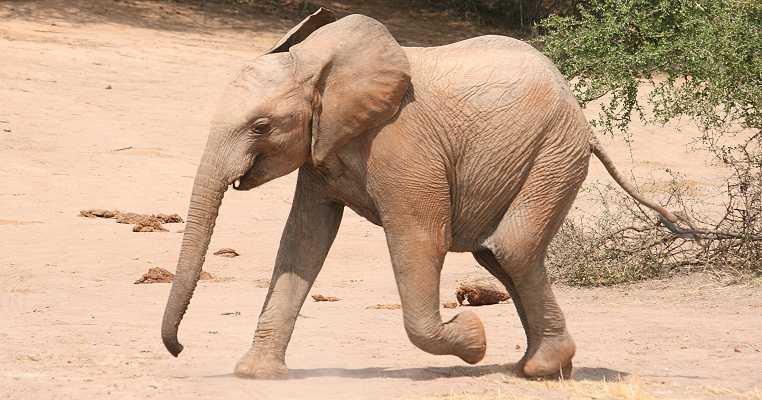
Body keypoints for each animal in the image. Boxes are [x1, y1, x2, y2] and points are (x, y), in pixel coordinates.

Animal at [157, 7, 680, 380]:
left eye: (261, 126)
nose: (179, 349)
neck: (320, 61)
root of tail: (580, 116)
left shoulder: (404, 146)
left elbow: (419, 238)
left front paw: (473, 339)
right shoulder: (323, 146)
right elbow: (304, 239)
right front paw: (255, 375)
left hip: (554, 151)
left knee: (509, 248)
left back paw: (540, 368)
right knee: (498, 254)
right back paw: (541, 368)